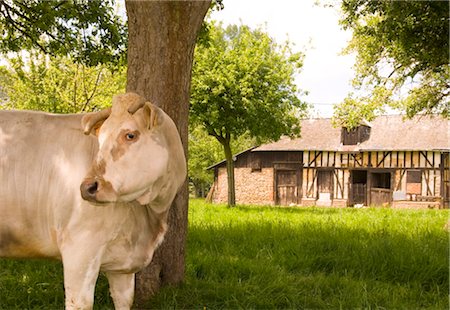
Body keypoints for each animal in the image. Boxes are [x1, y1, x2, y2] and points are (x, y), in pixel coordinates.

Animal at [0, 92, 186, 310]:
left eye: (130, 135)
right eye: (101, 140)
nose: (87, 187)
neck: (145, 221)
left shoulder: (123, 267)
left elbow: (124, 300)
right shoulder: (79, 249)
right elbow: (80, 303)